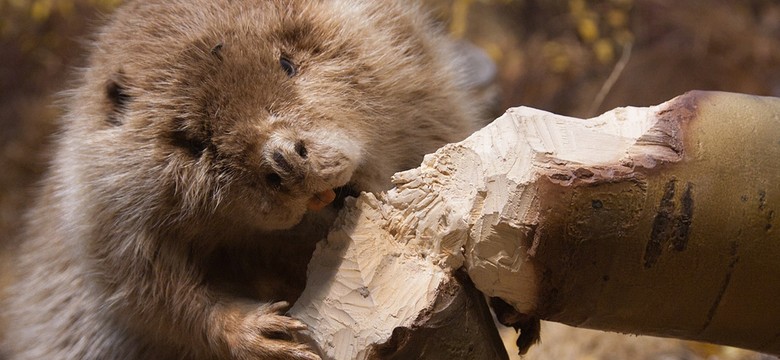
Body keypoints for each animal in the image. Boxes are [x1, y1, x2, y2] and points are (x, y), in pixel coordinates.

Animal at [0, 1, 488, 358]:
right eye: (193, 139)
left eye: (288, 63)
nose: (285, 161)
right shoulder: (99, 212)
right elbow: (147, 294)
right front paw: (269, 333)